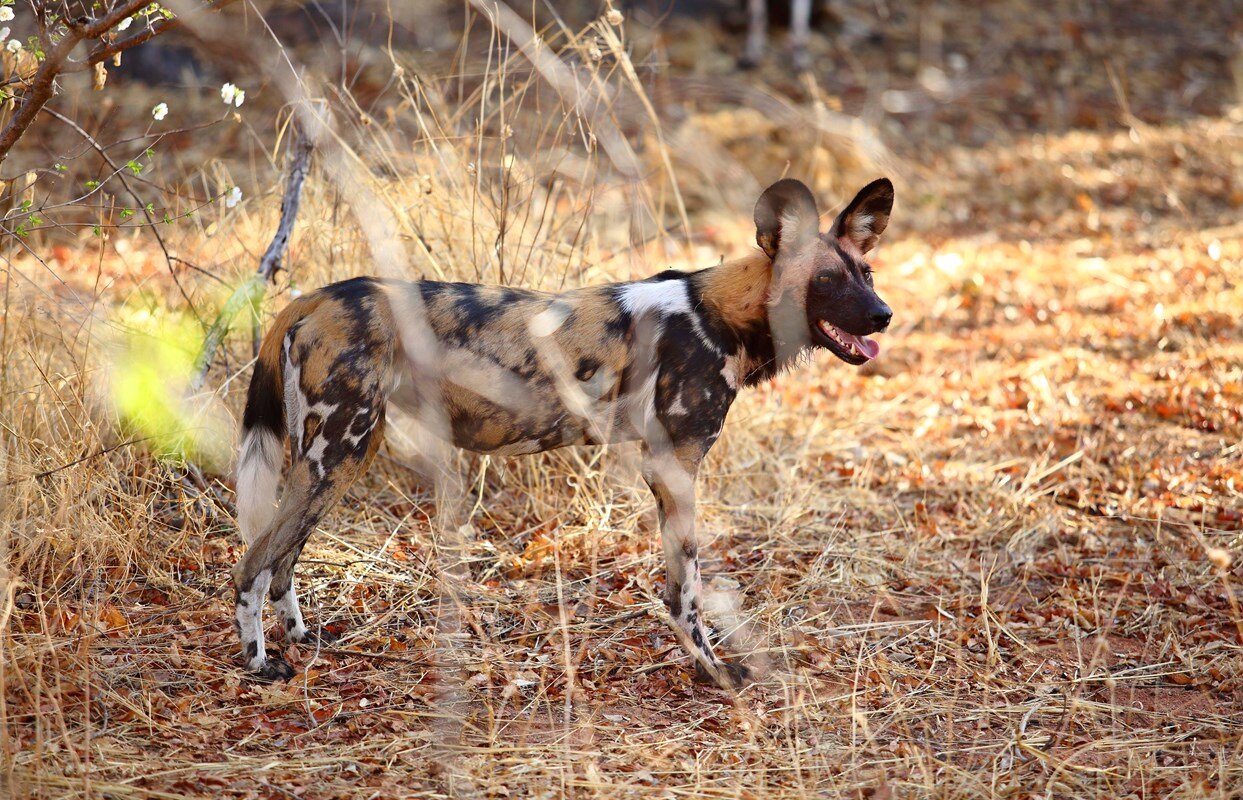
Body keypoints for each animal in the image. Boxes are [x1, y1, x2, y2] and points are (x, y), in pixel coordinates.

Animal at [233, 177, 894, 690]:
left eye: (866, 273)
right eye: (828, 281)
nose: (884, 314)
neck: (720, 314)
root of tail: (315, 297)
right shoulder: (674, 467)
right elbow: (686, 592)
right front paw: (713, 671)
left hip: (341, 457)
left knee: (283, 558)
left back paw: (301, 637)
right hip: (336, 456)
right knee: (253, 561)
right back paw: (259, 663)